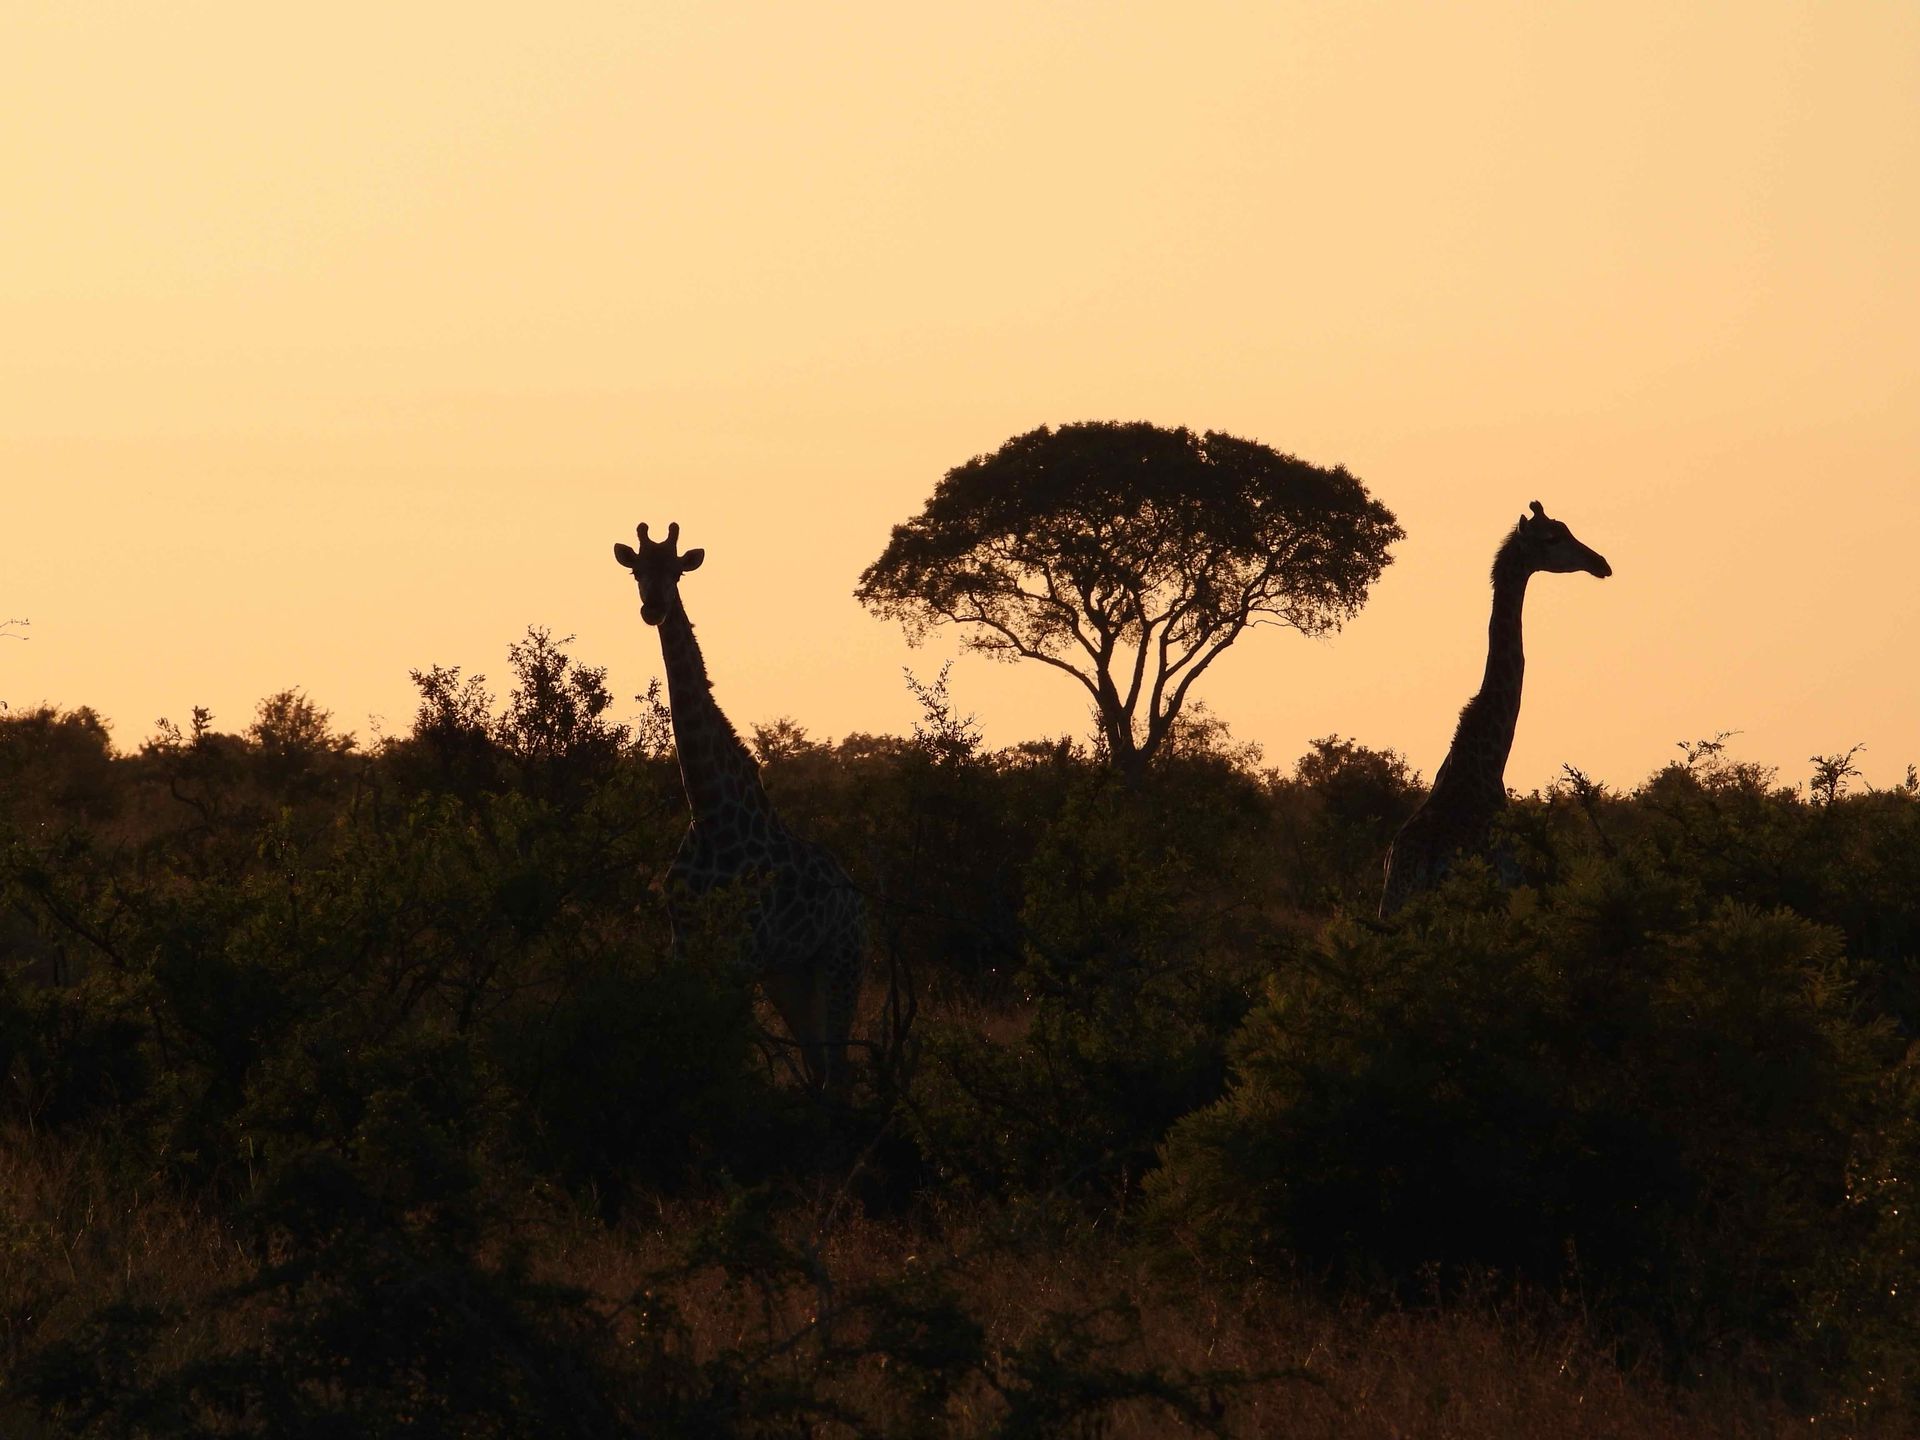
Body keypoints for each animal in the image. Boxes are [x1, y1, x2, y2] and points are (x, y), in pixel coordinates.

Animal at [613, 521, 866, 1091]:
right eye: (637, 571)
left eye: (677, 570)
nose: (653, 608)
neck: (710, 814)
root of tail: (854, 891)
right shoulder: (685, 942)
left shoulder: (743, 951)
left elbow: (728, 1049)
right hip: (790, 972)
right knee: (819, 1067)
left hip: (841, 960)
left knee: (838, 1070)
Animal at [1379, 501, 1611, 918]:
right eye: (1553, 538)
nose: (1600, 562)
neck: (1487, 760)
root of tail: (1412, 871)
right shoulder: (1511, 882)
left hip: (1390, 909)